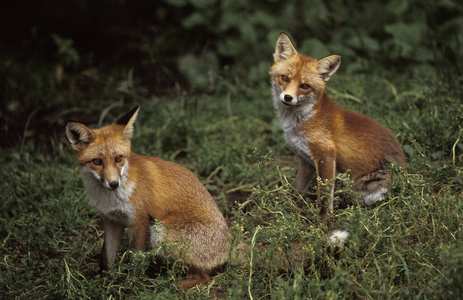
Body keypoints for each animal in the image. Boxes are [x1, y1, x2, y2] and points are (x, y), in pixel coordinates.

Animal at [65, 106, 230, 288]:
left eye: (118, 158)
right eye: (97, 161)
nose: (114, 183)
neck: (110, 198)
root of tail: (229, 246)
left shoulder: (139, 220)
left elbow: (135, 260)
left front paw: (131, 285)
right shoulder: (110, 220)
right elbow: (107, 258)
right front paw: (105, 281)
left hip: (160, 231)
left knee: (204, 277)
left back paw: (168, 285)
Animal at [270, 34, 408, 214]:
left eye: (305, 86)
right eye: (285, 78)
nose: (288, 98)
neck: (301, 119)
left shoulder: (326, 155)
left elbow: (324, 197)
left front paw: (323, 219)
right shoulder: (305, 159)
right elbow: (297, 189)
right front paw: (289, 209)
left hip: (372, 184)